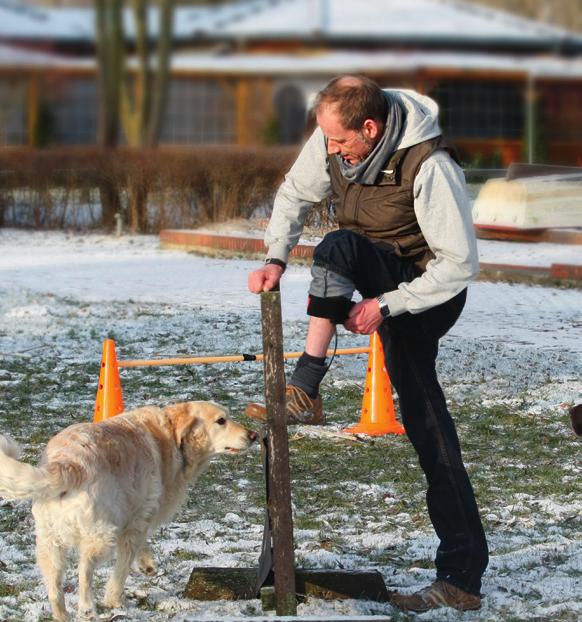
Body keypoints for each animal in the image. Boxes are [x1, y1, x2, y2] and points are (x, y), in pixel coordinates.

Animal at [0, 402, 258, 620]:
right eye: (221, 420)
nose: (253, 435)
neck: (172, 438)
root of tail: (68, 463)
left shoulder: (136, 515)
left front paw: (147, 564)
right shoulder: (139, 516)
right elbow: (123, 566)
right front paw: (114, 599)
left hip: (49, 542)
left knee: (55, 588)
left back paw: (61, 616)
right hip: (102, 535)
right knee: (85, 571)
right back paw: (87, 609)